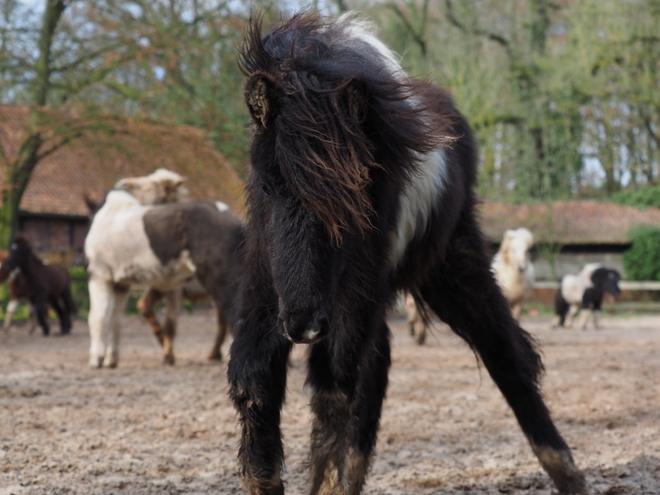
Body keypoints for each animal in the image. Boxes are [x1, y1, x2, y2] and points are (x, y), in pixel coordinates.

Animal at [228, 11, 588, 495]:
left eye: (357, 198)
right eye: (266, 186)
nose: (304, 326)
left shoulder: (352, 287)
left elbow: (331, 390)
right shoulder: (266, 277)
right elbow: (255, 382)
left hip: (449, 267)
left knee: (505, 353)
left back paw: (568, 474)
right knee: (375, 369)